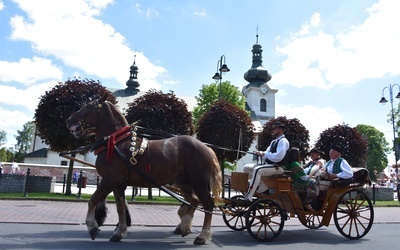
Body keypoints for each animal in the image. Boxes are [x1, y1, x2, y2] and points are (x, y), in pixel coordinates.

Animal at [65, 93, 222, 244]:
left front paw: (92, 227)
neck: (116, 143)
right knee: (194, 201)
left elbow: (93, 200)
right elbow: (120, 208)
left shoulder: (109, 180)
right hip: (184, 183)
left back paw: (202, 235)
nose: (69, 120)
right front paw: (119, 232)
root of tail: (206, 148)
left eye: (88, 106)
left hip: (198, 182)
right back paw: (184, 226)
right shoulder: (118, 184)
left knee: (207, 204)